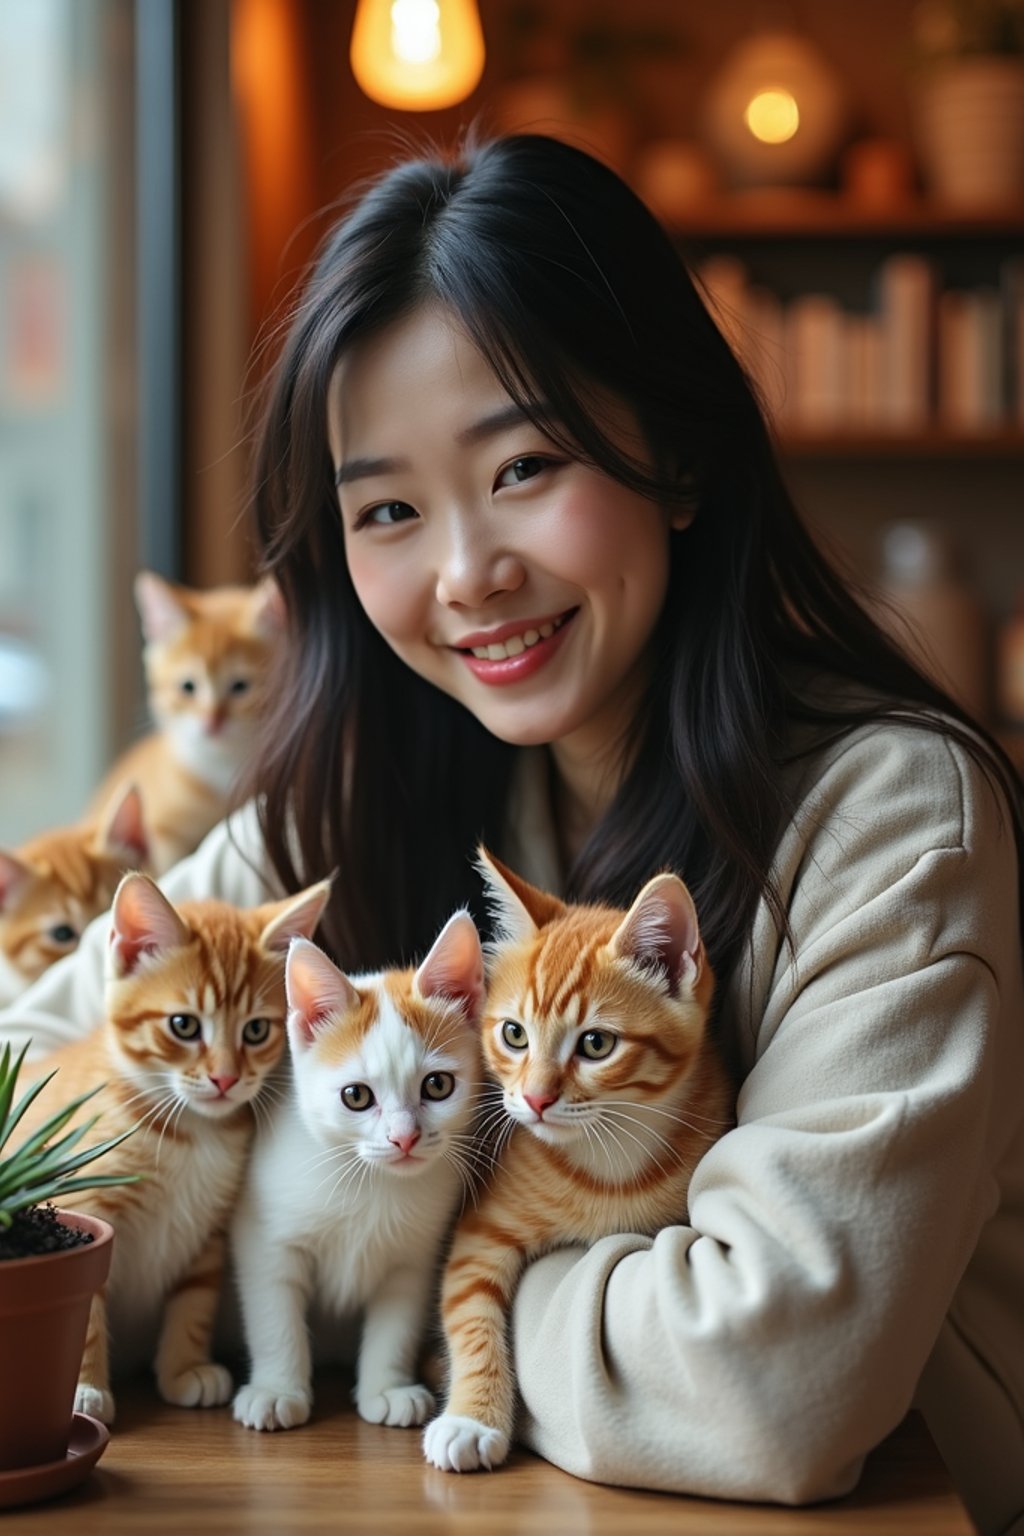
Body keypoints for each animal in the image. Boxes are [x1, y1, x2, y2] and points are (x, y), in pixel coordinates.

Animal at [16, 872, 328, 1419]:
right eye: (184, 1025)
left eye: (255, 1030)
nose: (226, 1079)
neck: (190, 1131)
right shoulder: (87, 1204)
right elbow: (86, 1302)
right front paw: (83, 1389)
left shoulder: (209, 1227)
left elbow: (194, 1297)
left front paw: (184, 1369)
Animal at [233, 909, 488, 1425]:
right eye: (356, 1096)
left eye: (437, 1086)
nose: (404, 1137)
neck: (371, 1183)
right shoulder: (265, 1239)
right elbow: (274, 1314)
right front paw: (276, 1389)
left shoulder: (414, 1257)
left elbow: (396, 1322)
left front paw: (387, 1388)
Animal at [420, 847, 733, 1468]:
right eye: (514, 1034)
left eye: (595, 1044)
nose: (536, 1099)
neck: (608, 1156)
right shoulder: (481, 1233)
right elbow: (472, 1316)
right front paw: (472, 1417)